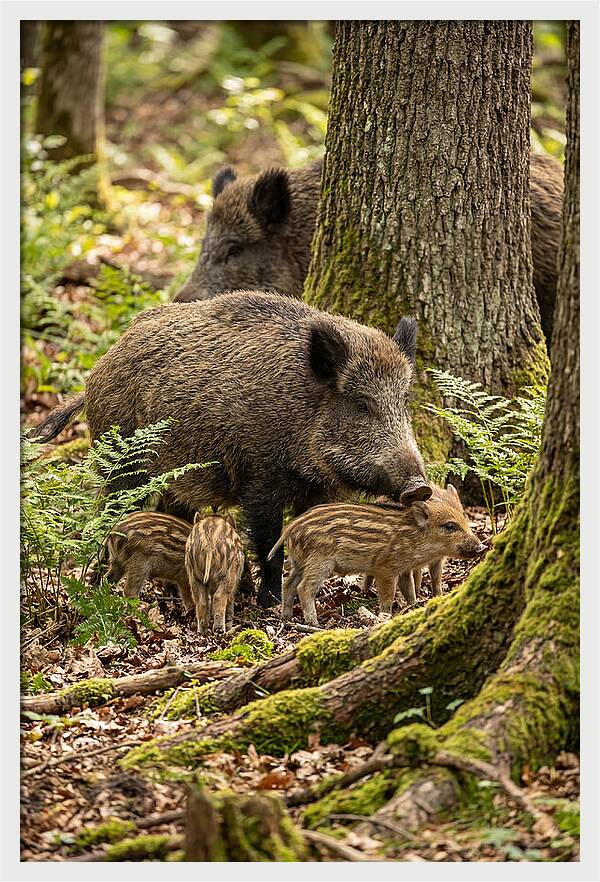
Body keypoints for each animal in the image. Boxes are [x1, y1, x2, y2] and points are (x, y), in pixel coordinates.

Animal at [32, 291, 431, 608]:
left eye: (404, 401)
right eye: (362, 404)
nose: (420, 487)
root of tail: (96, 371)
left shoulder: (320, 490)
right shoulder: (260, 479)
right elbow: (270, 544)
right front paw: (269, 603)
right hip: (122, 462)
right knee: (109, 515)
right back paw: (98, 586)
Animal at [270, 486, 487, 627]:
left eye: (465, 519)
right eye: (450, 526)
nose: (482, 547)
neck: (414, 537)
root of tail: (291, 528)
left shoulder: (404, 568)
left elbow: (409, 590)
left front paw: (414, 606)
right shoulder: (385, 568)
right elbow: (388, 595)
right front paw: (386, 615)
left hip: (301, 562)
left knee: (288, 584)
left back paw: (286, 617)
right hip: (319, 562)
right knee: (304, 587)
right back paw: (313, 623)